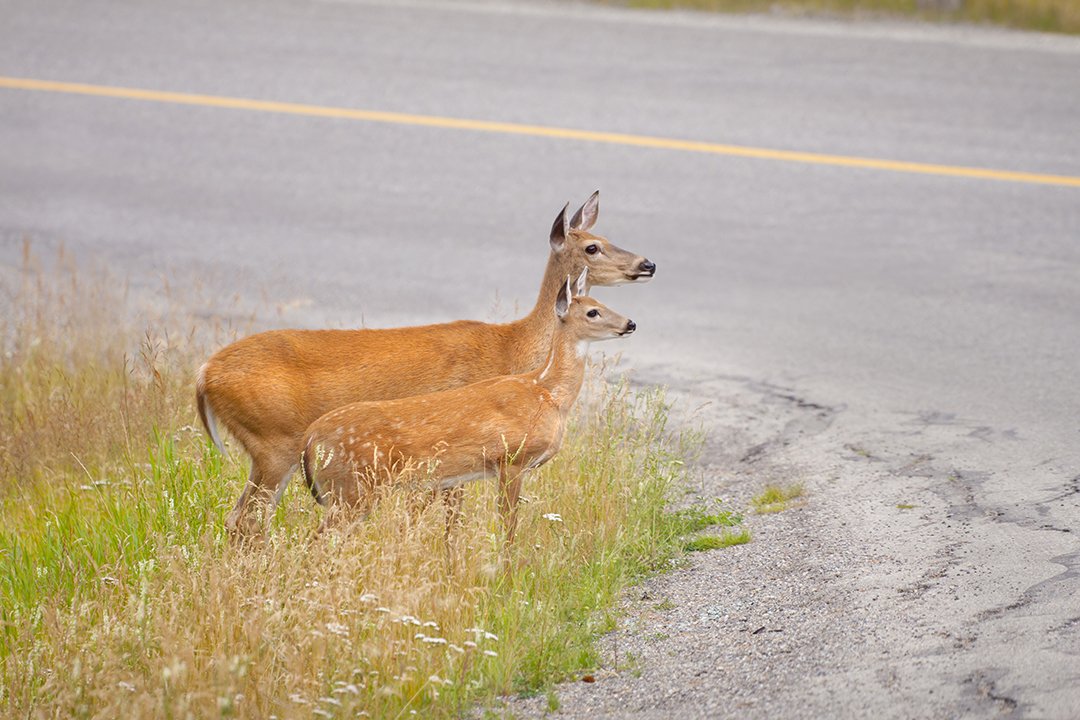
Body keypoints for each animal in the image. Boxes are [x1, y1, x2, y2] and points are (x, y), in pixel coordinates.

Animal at [300, 270, 634, 543]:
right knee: (316, 542)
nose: (630, 323)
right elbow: (508, 528)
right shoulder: (511, 458)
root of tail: (310, 438)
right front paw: (507, 574)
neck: (547, 393)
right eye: (593, 311)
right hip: (352, 489)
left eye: (601, 302)